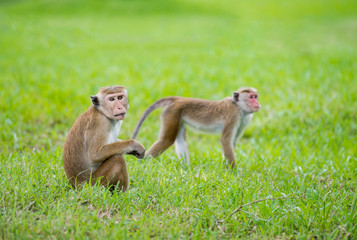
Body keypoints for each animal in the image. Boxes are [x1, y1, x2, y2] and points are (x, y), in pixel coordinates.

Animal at [132, 87, 260, 168]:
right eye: (251, 97)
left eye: (256, 97)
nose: (258, 103)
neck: (238, 107)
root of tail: (178, 99)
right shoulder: (233, 115)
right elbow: (226, 140)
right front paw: (233, 171)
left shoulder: (244, 119)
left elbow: (231, 142)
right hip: (171, 113)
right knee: (167, 140)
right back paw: (142, 164)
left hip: (178, 116)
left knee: (180, 141)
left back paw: (187, 170)